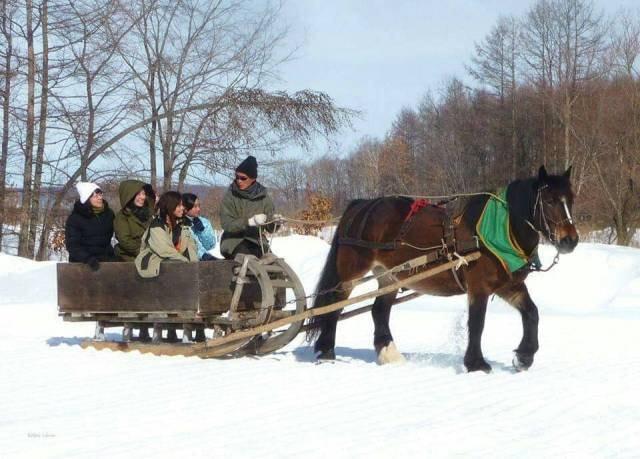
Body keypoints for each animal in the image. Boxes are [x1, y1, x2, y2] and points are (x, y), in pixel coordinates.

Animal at [307, 166, 579, 372]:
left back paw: (389, 355)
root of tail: (361, 205)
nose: (570, 240)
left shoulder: (509, 285)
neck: (500, 229)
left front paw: (524, 357)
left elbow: (532, 314)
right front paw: (476, 364)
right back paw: (326, 352)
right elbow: (477, 323)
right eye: (550, 201)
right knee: (334, 306)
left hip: (390, 275)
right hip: (351, 272)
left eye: (571, 200)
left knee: (379, 311)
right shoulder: (478, 286)